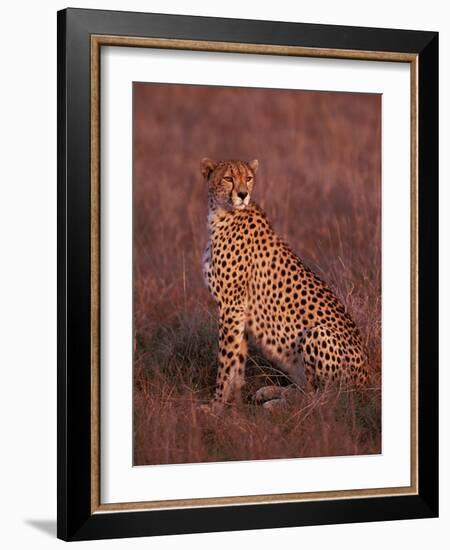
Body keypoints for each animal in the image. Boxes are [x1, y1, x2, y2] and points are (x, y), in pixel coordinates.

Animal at [202, 157, 368, 412]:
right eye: (228, 178)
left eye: (248, 178)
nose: (243, 194)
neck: (222, 214)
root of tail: (367, 381)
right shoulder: (239, 312)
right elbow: (236, 361)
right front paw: (234, 402)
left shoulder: (232, 307)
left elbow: (225, 361)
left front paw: (216, 406)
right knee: (310, 390)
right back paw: (271, 392)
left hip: (318, 334)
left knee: (325, 399)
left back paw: (276, 403)